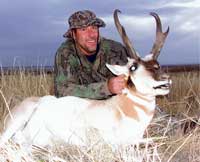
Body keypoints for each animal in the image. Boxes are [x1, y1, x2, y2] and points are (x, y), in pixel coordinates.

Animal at [0, 9, 171, 147]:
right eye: (133, 67)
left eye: (157, 64)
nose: (166, 78)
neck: (120, 108)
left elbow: (157, 139)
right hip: (16, 123)